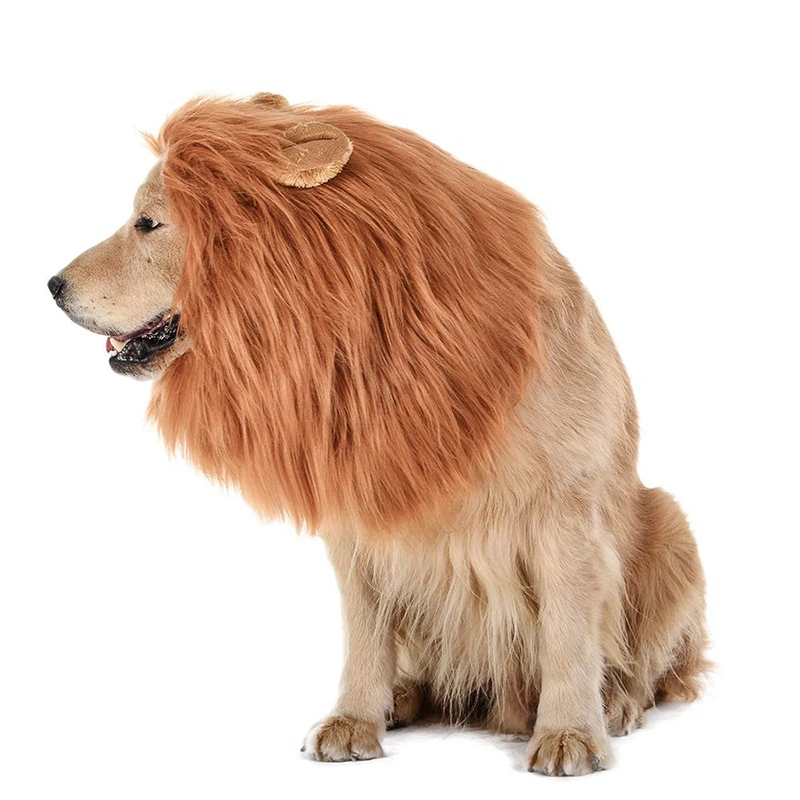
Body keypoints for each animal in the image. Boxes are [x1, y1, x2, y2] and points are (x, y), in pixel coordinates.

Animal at [47, 93, 708, 776]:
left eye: (147, 224)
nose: (52, 285)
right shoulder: (360, 512)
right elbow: (365, 635)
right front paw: (355, 719)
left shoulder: (565, 514)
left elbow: (569, 635)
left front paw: (570, 733)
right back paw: (403, 697)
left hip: (669, 523)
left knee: (651, 666)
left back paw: (618, 704)